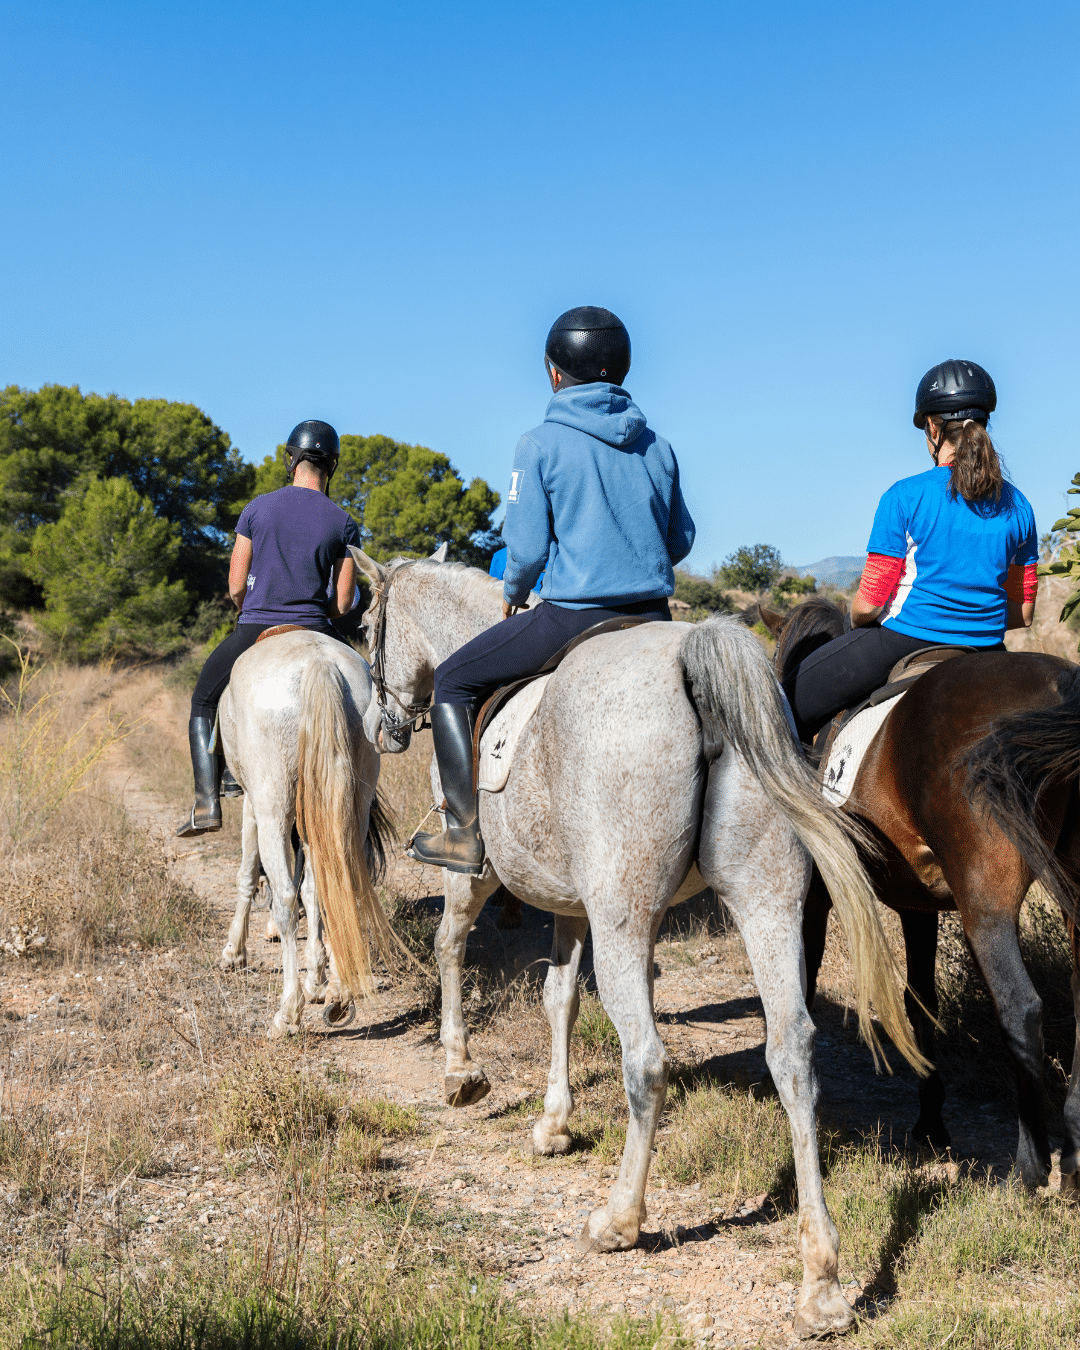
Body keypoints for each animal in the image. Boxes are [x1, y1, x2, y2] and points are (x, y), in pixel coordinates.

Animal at [215, 629, 394, 1037]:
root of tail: (320, 663)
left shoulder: (253, 806)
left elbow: (248, 874)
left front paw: (234, 952)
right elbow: (314, 891)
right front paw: (318, 979)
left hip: (273, 808)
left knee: (284, 897)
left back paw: (287, 1013)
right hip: (350, 803)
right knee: (339, 883)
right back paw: (338, 994)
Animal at [352, 549, 926, 1340]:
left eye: (367, 627)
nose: (379, 727)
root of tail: (692, 654)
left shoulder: (482, 876)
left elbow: (449, 946)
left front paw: (461, 1074)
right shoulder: (573, 902)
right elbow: (558, 997)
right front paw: (554, 1123)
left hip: (624, 915)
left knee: (648, 1060)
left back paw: (619, 1220)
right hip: (765, 901)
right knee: (792, 1053)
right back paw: (822, 1283)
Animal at [763, 596, 1080, 1190]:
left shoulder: (814, 895)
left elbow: (805, 978)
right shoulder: (918, 905)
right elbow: (922, 1002)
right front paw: (931, 1123)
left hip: (985, 897)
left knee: (1019, 1007)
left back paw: (1030, 1168)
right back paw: (1071, 1156)